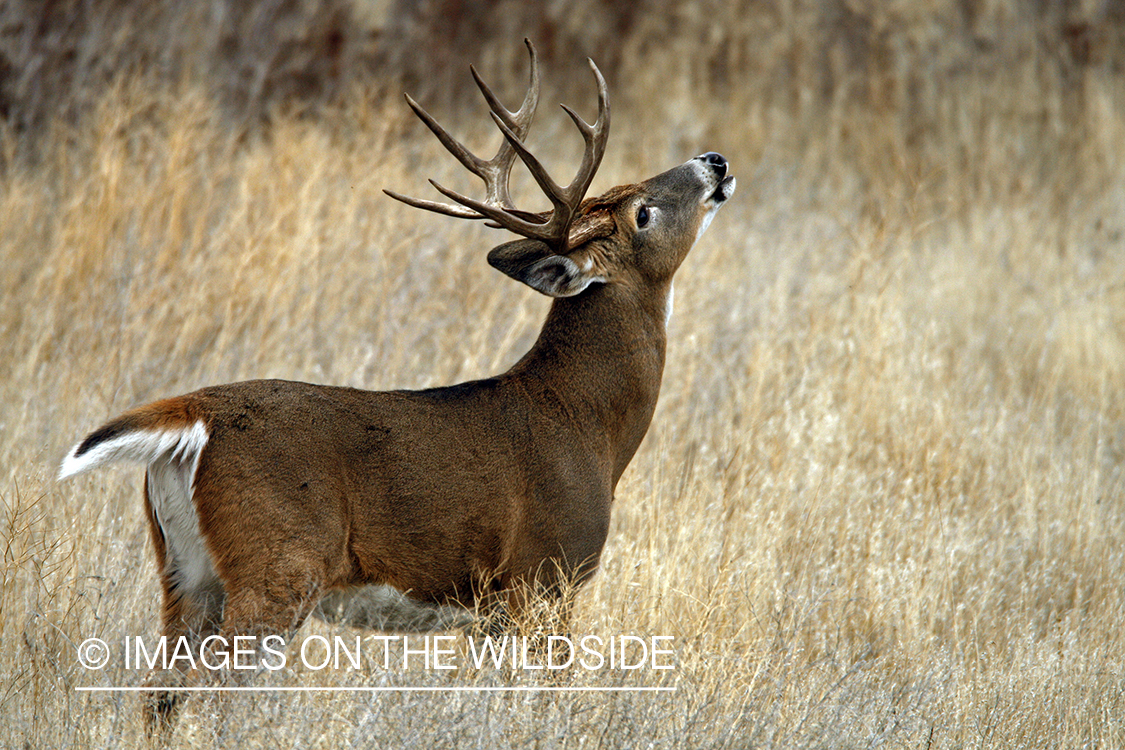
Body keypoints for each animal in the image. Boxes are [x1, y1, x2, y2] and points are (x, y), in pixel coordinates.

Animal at [57, 39, 733, 728]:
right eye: (642, 212)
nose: (714, 161)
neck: (585, 423)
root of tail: (194, 416)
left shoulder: (491, 611)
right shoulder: (543, 575)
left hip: (186, 572)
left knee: (159, 691)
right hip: (276, 567)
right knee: (207, 691)